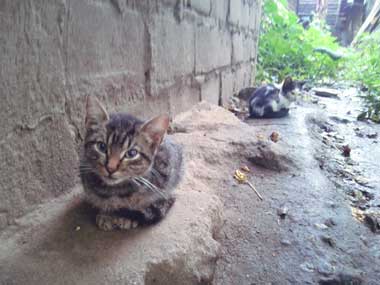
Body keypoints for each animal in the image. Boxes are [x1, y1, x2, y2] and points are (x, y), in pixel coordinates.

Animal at [80, 96, 183, 230]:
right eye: (101, 146)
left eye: (132, 153)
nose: (111, 168)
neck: (116, 191)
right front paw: (106, 214)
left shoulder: (167, 175)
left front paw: (125, 217)